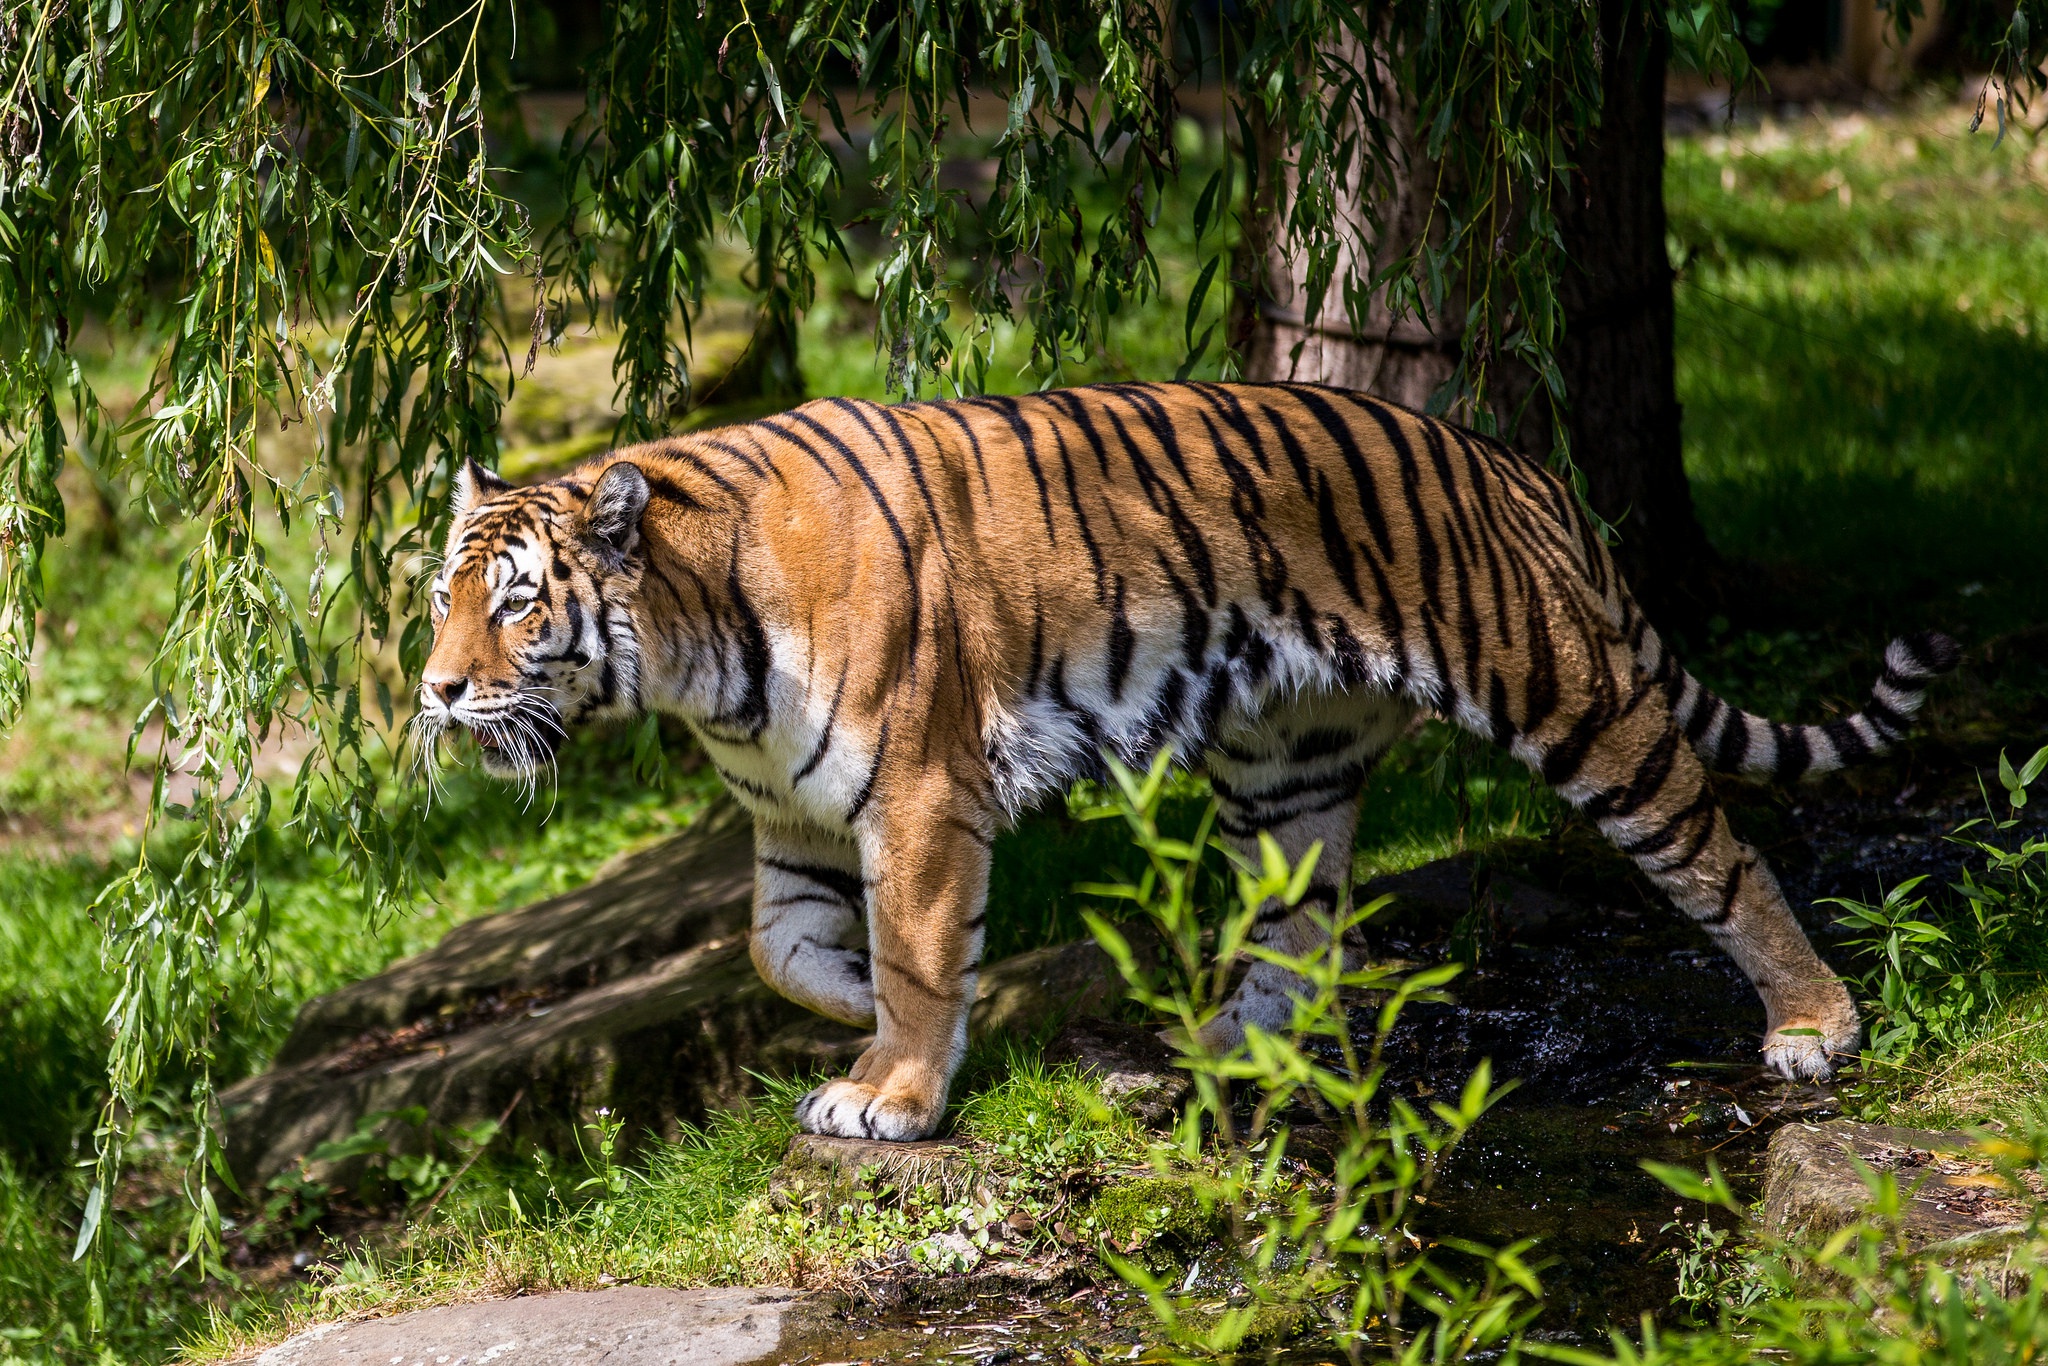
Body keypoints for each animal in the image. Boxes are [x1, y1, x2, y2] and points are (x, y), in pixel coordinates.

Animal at [411, 378, 1949, 1138]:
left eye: (520, 605)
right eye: (439, 594)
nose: (434, 689)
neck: (696, 663)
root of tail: (1514, 465)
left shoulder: (918, 793)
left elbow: (914, 943)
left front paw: (893, 1087)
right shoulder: (790, 815)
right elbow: (778, 949)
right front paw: (864, 1013)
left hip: (1562, 696)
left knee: (1713, 846)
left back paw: (1814, 1022)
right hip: (1286, 765)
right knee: (1304, 928)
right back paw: (1220, 1045)